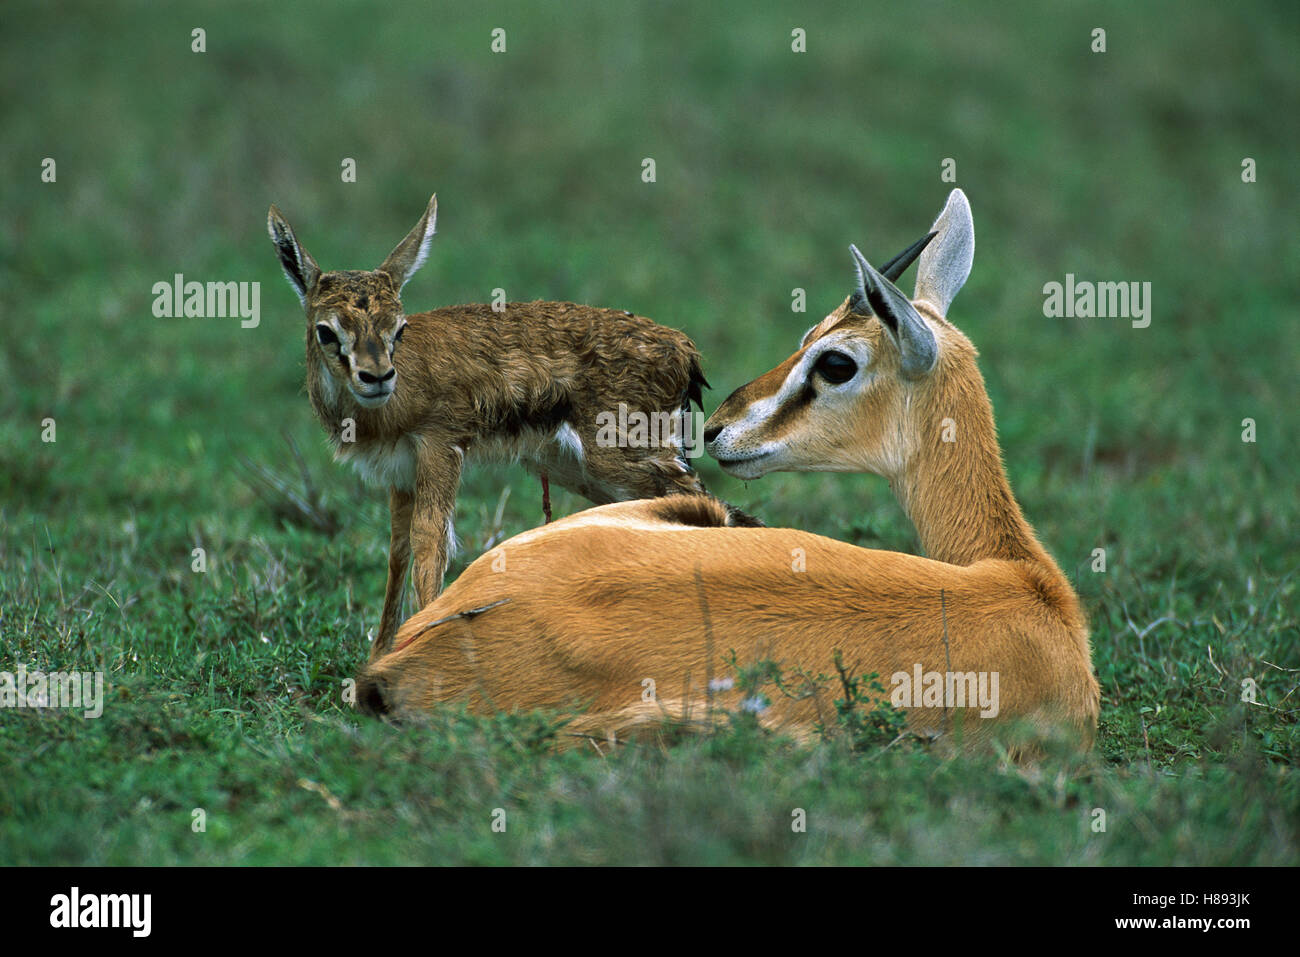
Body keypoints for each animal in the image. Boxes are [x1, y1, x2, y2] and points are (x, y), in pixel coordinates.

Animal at [266, 196, 932, 664]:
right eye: (328, 330)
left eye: (397, 326)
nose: (376, 374)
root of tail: (684, 353)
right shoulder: (400, 475)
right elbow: (399, 552)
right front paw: (378, 654)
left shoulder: (438, 450)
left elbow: (432, 546)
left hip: (626, 461)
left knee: (717, 510)